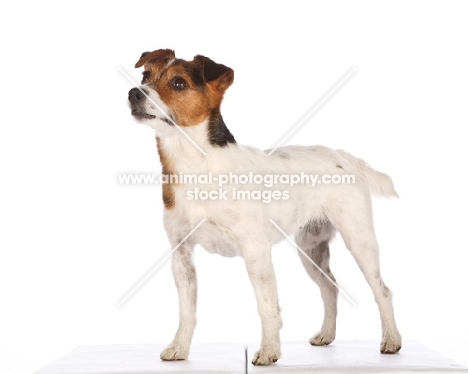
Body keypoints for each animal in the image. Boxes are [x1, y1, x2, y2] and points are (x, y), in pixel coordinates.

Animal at [127, 49, 402, 366]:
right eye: (145, 76)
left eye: (178, 83)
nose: (133, 93)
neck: (195, 165)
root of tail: (341, 156)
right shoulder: (181, 255)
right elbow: (187, 311)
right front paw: (179, 348)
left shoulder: (256, 253)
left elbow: (267, 305)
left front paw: (270, 350)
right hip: (311, 249)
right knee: (330, 287)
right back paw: (326, 334)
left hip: (360, 241)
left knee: (382, 290)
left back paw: (392, 340)